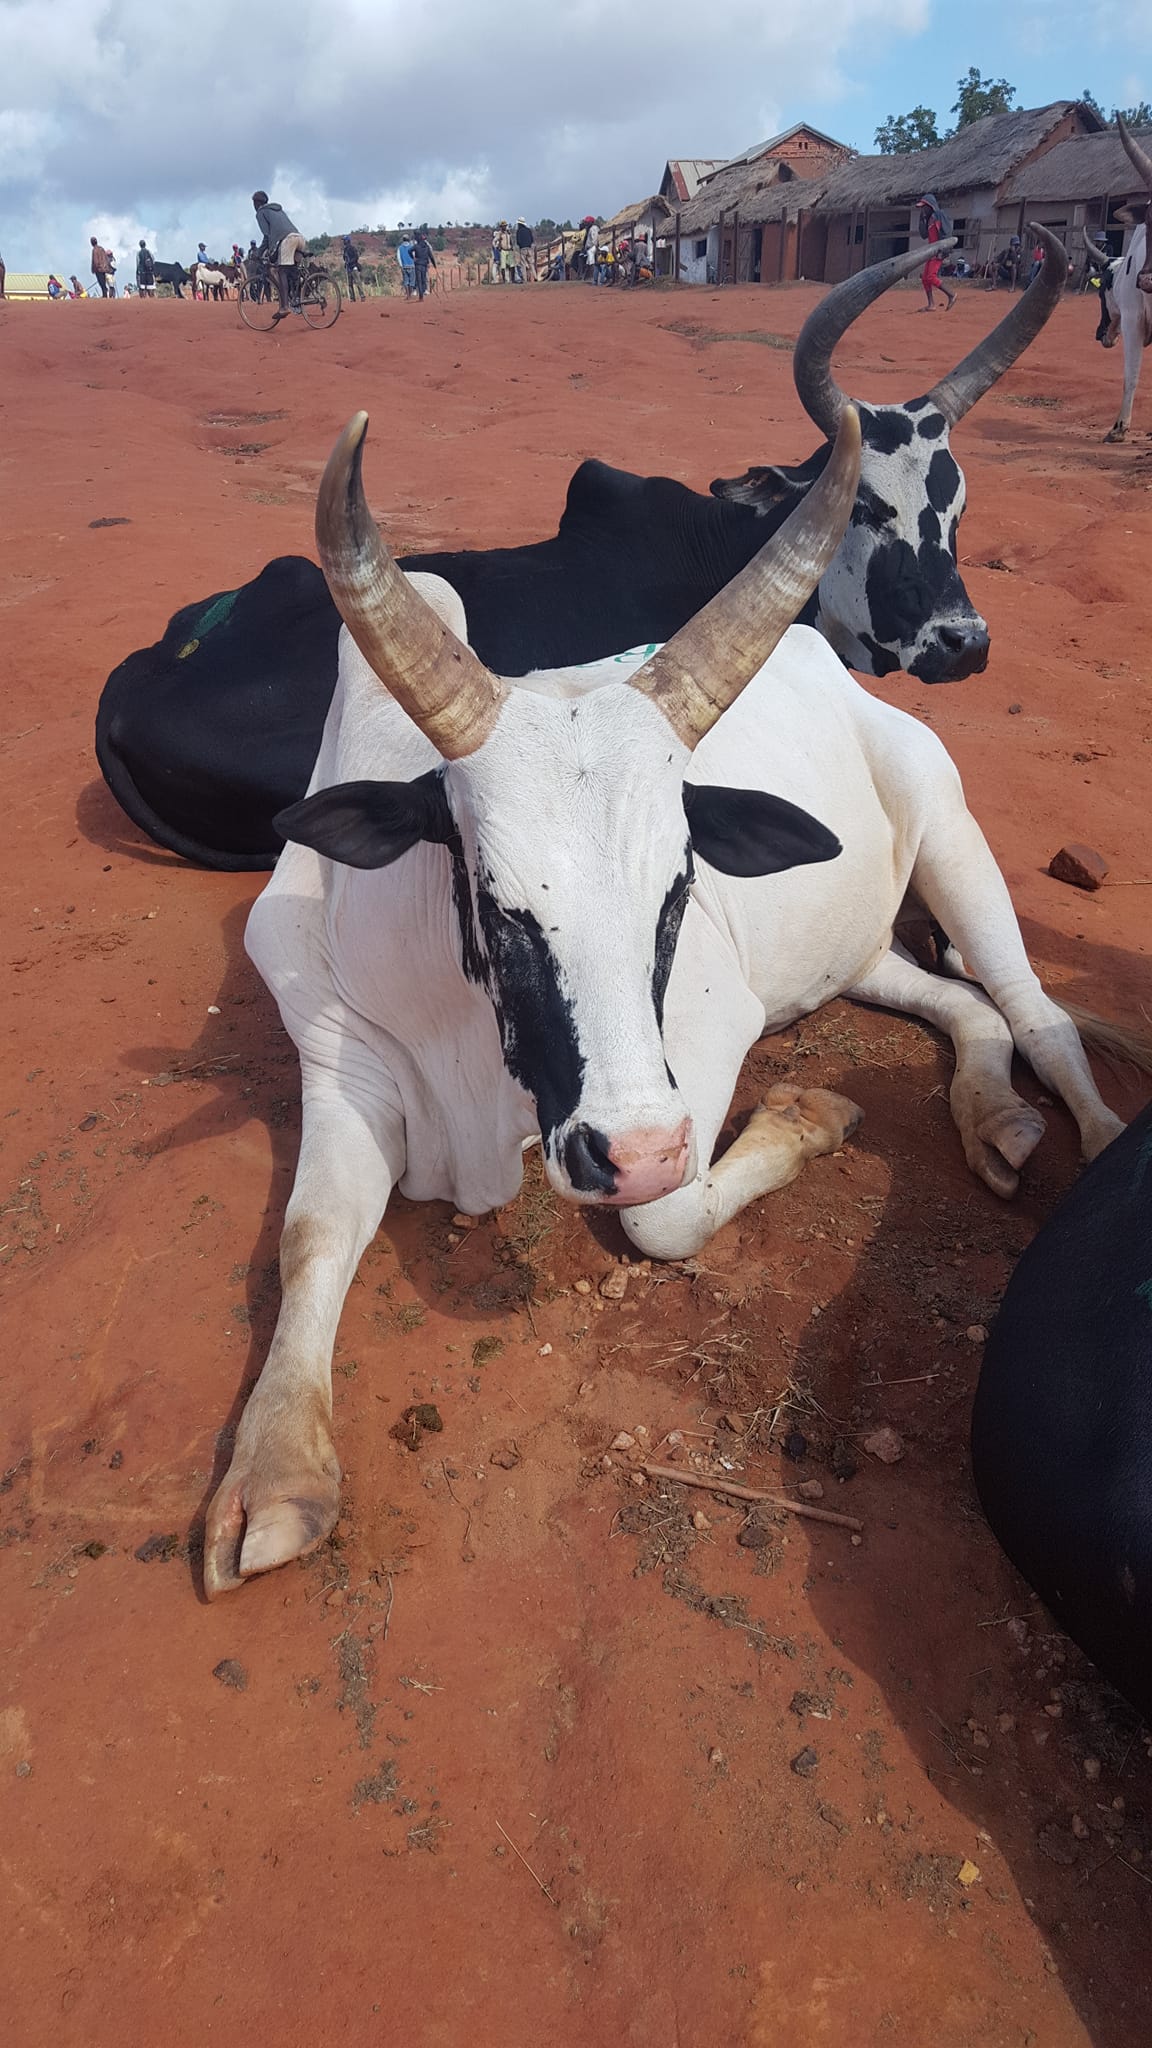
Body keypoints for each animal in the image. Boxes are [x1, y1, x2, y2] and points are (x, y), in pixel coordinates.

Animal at [202, 406, 1126, 1596]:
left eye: (679, 884)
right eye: (495, 900)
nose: (628, 1149)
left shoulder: (705, 1034)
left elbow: (664, 1216)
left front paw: (805, 1117)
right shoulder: (338, 1056)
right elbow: (310, 1234)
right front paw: (274, 1469)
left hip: (954, 833)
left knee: (1033, 1010)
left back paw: (1092, 1134)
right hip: (852, 948)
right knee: (963, 1009)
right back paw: (993, 1113)